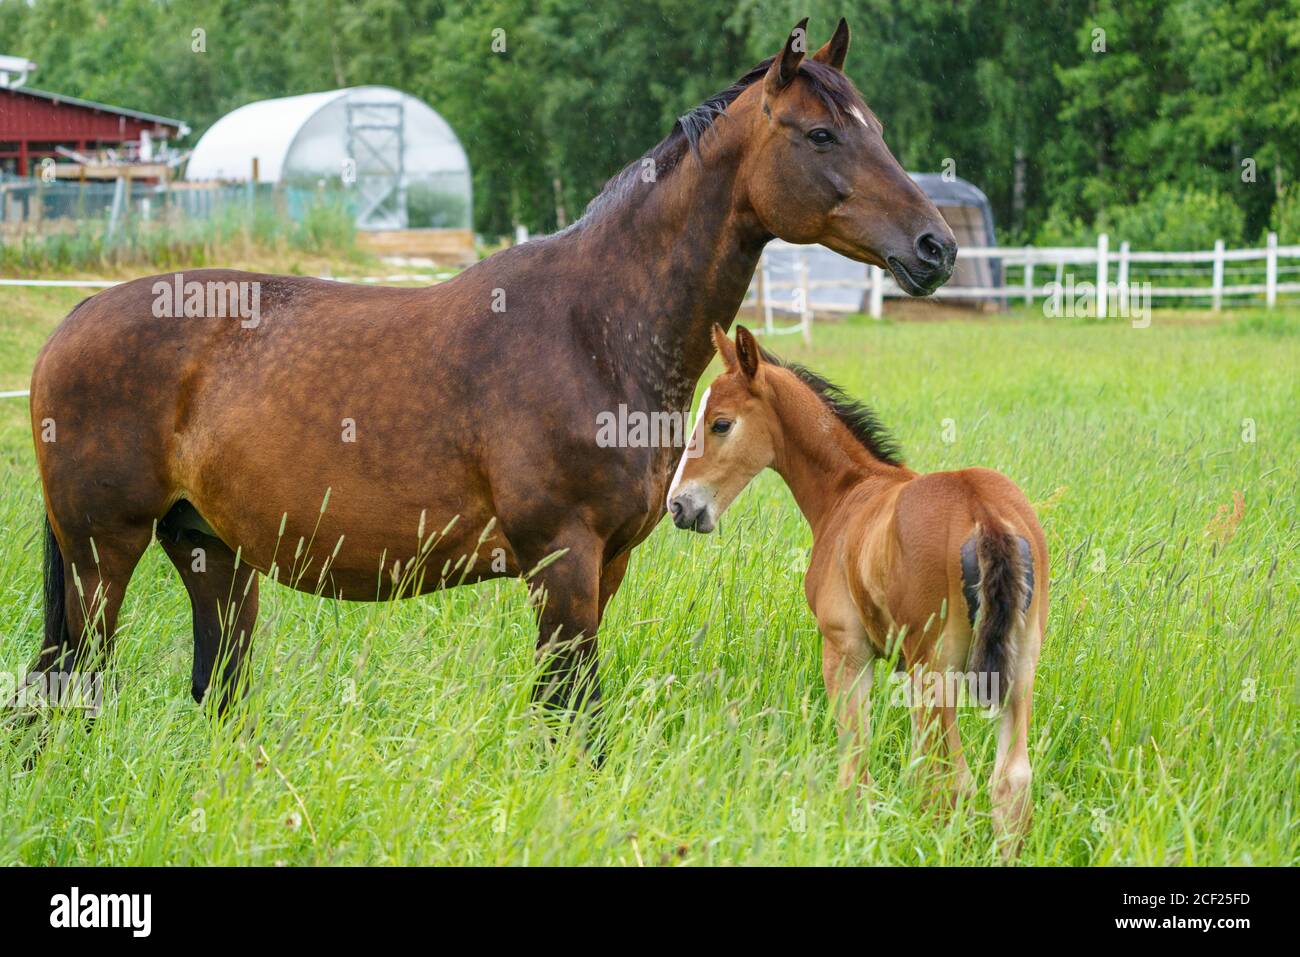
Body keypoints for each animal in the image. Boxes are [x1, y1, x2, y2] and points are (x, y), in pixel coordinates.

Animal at [670, 325, 1045, 847]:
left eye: (720, 424)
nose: (679, 506)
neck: (847, 491)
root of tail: (983, 511)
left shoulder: (846, 650)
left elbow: (855, 760)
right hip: (1020, 664)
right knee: (1009, 779)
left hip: (936, 669)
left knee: (955, 779)